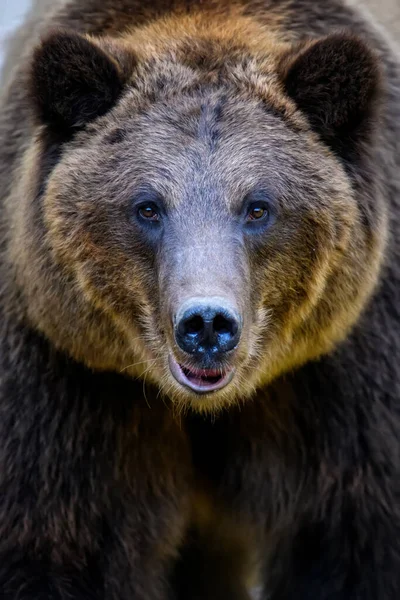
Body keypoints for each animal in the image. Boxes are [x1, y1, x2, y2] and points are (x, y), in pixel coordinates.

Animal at [0, 0, 400, 596]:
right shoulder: (68, 378)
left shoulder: (346, 379)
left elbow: (354, 545)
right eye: (147, 206)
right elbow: (58, 541)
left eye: (258, 206)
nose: (207, 324)